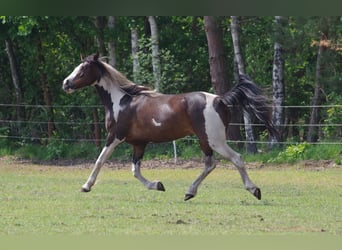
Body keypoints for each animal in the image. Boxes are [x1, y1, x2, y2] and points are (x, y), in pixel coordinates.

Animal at [62, 52, 276, 201]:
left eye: (82, 69)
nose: (65, 83)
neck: (121, 103)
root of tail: (220, 99)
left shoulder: (115, 136)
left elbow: (100, 160)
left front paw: (86, 186)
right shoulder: (139, 143)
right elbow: (135, 170)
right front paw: (158, 185)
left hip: (215, 141)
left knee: (236, 158)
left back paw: (254, 190)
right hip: (205, 140)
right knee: (210, 164)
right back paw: (189, 192)